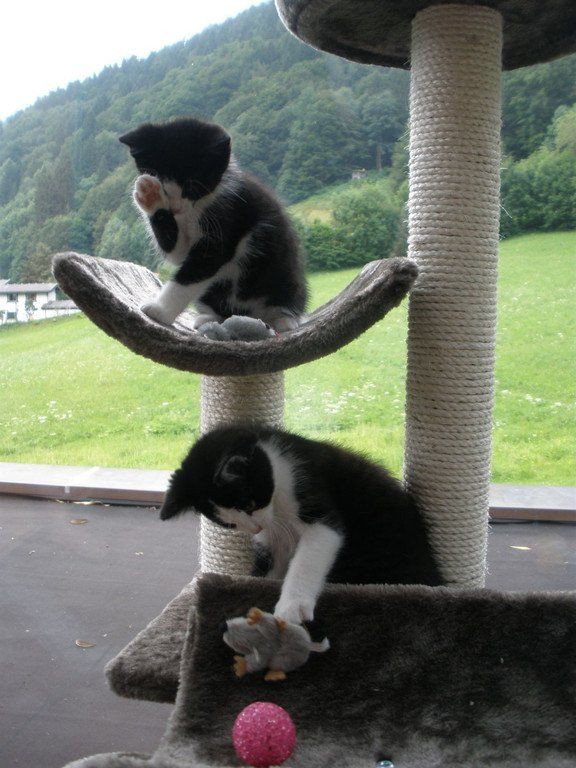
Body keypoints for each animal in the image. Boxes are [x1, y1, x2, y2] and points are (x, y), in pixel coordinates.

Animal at [119, 117, 307, 332]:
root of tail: (251, 315)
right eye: (164, 188)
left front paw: (160, 311)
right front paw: (150, 196)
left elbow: (192, 273)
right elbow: (178, 254)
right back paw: (209, 319)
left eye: (192, 187)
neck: (197, 208)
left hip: (285, 277)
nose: (175, 208)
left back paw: (285, 320)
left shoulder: (229, 216)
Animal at [160, 425, 444, 626]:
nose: (255, 529)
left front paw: (292, 606)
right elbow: (271, 568)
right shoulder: (274, 540)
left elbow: (308, 559)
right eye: (230, 523)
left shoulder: (313, 497)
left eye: (250, 504)